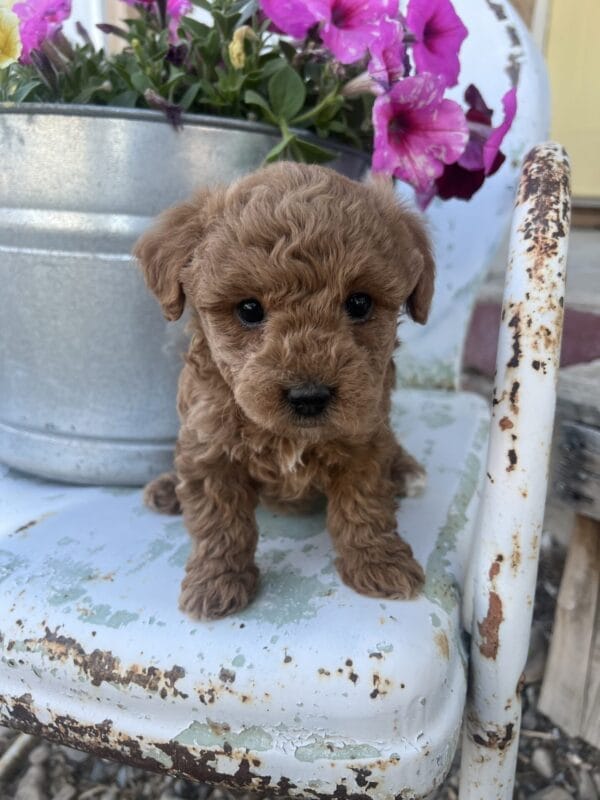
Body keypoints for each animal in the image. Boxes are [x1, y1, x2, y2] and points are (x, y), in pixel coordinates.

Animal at [135, 161, 434, 620]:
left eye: (360, 303)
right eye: (249, 309)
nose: (308, 396)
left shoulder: (366, 440)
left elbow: (364, 505)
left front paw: (378, 562)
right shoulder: (210, 447)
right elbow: (220, 521)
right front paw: (216, 582)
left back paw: (404, 471)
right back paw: (169, 489)